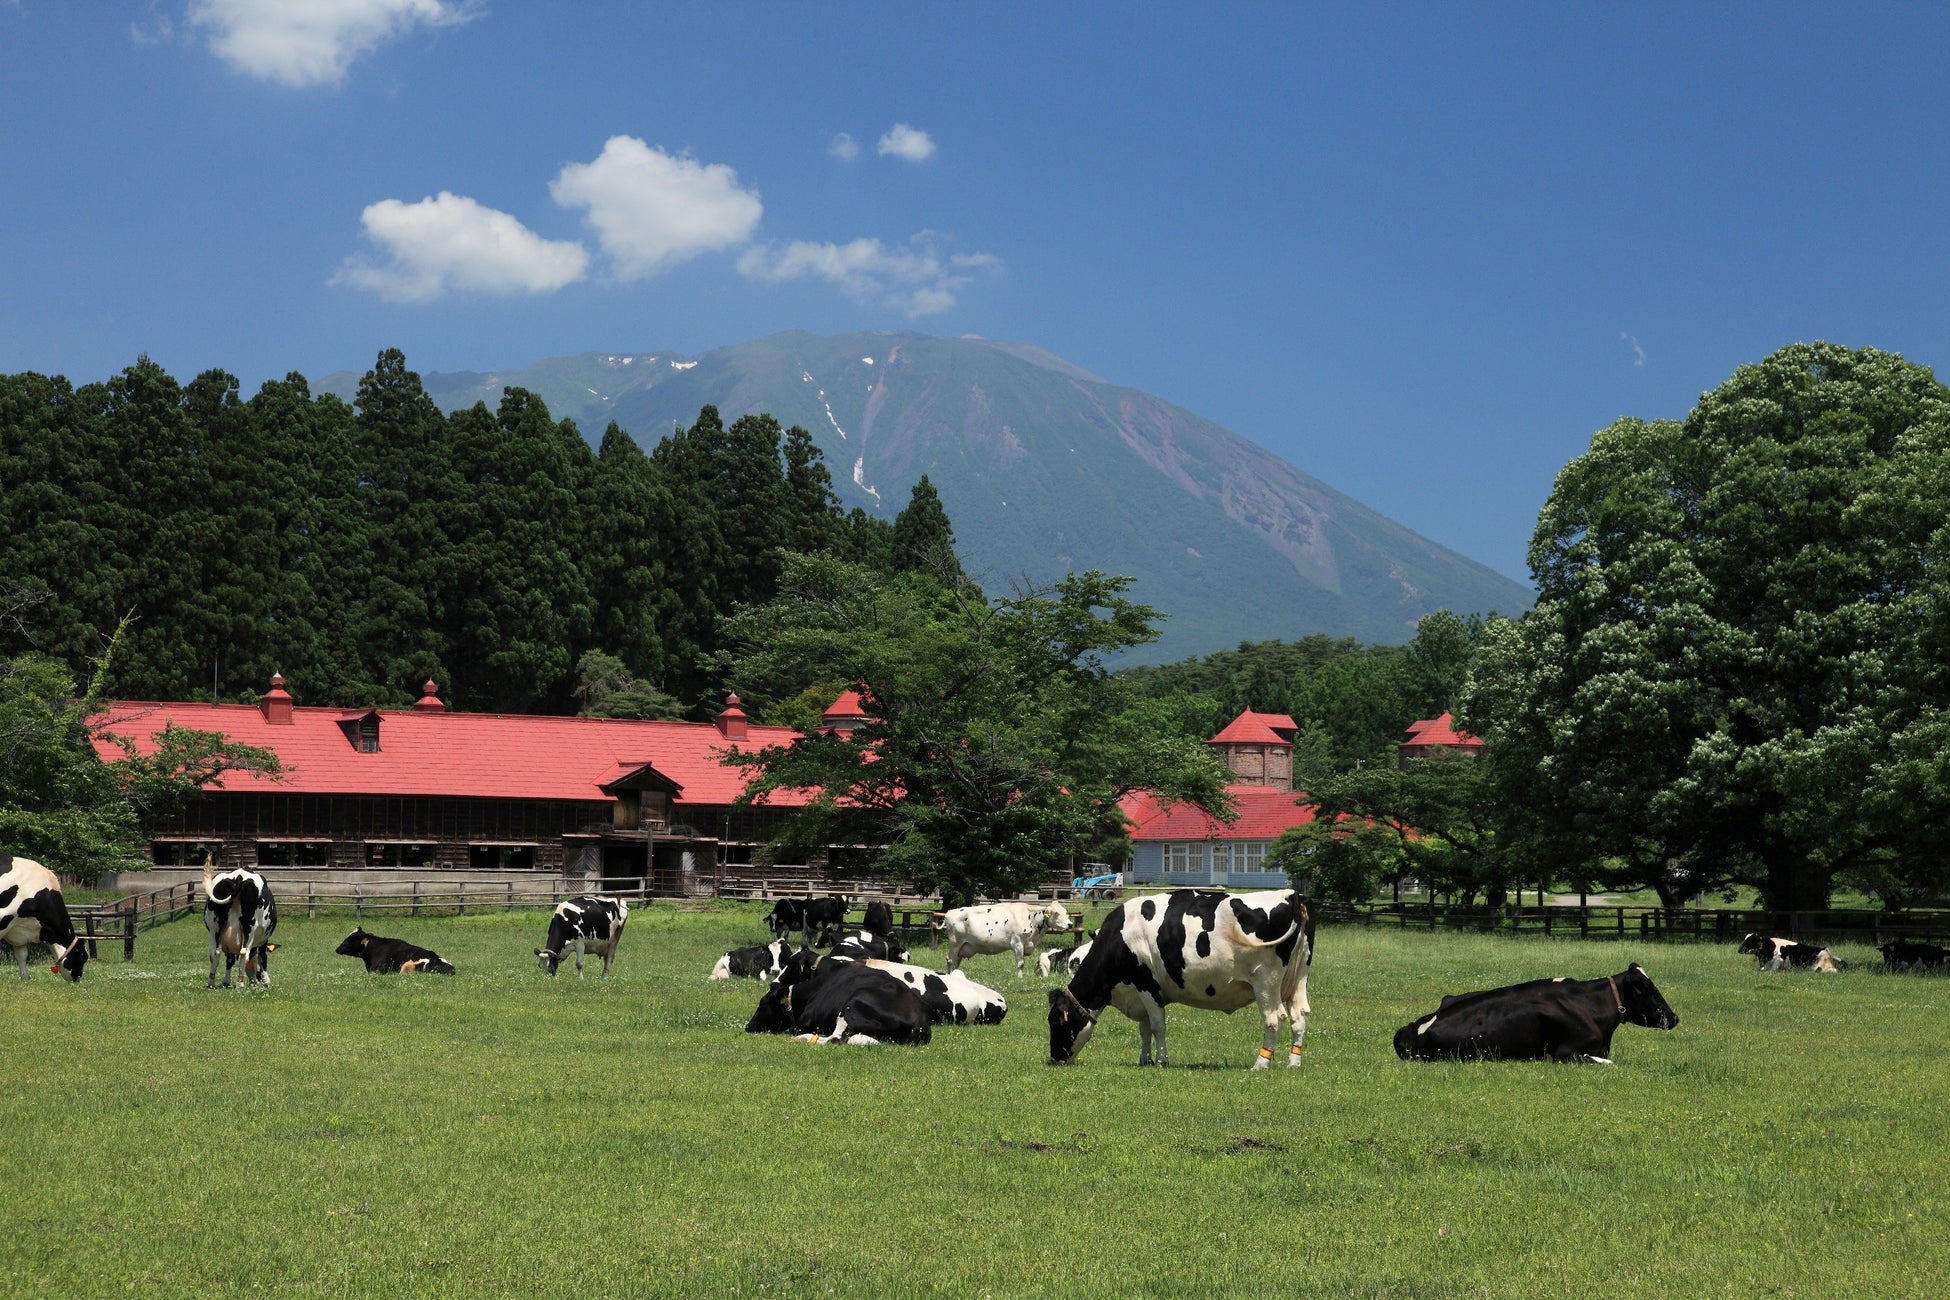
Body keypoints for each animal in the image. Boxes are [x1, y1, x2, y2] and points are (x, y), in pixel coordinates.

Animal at [741, 955, 932, 1044]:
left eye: (762, 1004)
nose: (748, 1026)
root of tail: (919, 1022)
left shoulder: (801, 1022)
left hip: (852, 1006)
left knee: (835, 1039)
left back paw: (805, 1038)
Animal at [936, 904, 1076, 974]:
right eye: (1056, 913)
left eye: (1066, 912)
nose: (1070, 924)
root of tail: (949, 913)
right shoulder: (1017, 943)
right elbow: (1020, 964)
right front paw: (1019, 979)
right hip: (955, 943)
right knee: (950, 960)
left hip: (962, 946)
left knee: (956, 962)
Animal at [1045, 888, 1318, 1075]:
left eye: (1056, 1022)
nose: (1053, 1059)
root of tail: (1292, 894)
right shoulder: (1139, 992)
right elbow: (1144, 1028)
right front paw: (1144, 1059)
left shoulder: (1146, 984)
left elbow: (1157, 1026)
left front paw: (1162, 1060)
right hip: (1298, 978)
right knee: (1299, 1016)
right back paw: (1294, 1063)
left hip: (1265, 981)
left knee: (1274, 1019)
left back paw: (1261, 1064)